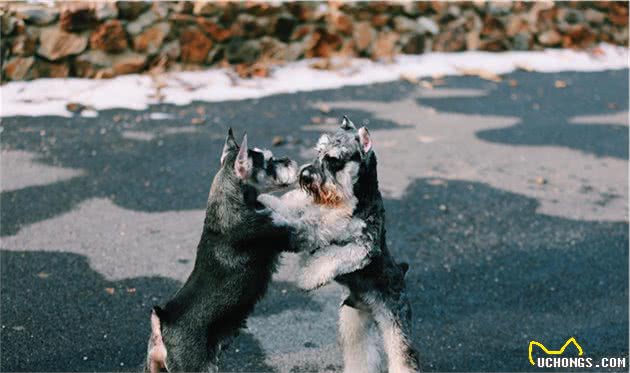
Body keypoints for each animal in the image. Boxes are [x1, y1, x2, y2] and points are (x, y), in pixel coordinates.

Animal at [146, 127, 298, 370]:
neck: (231, 201)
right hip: (195, 366)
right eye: (269, 161)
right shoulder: (284, 235)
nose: (290, 160)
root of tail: (162, 326)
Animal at [260, 117, 422, 372]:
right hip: (352, 323)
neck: (351, 200)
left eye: (334, 159)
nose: (305, 175)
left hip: (394, 324)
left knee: (403, 358)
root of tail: (400, 272)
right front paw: (269, 200)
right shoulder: (315, 215)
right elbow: (296, 205)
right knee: (360, 356)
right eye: (318, 151)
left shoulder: (362, 247)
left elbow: (332, 254)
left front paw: (308, 277)